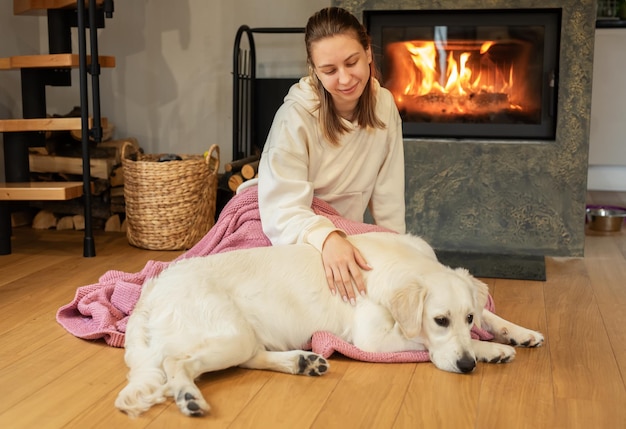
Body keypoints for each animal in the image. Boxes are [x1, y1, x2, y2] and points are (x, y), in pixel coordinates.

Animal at [116, 232, 540, 416]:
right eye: (439, 320)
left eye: (466, 317)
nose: (467, 366)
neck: (402, 263)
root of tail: (152, 290)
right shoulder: (373, 340)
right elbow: (423, 342)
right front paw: (491, 349)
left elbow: (490, 314)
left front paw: (519, 333)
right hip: (229, 333)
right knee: (177, 363)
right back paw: (189, 397)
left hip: (241, 337)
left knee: (248, 357)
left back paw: (302, 361)